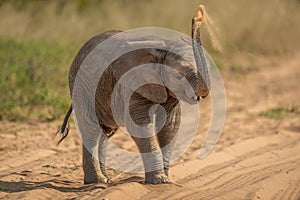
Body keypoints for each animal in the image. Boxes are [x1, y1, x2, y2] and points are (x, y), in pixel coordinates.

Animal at [58, 5, 209, 184]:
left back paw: (105, 178)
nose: (198, 15)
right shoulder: (131, 83)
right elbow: (139, 124)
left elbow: (170, 125)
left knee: (105, 131)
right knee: (91, 127)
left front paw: (165, 179)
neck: (162, 50)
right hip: (80, 84)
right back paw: (98, 181)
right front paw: (159, 180)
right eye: (179, 76)